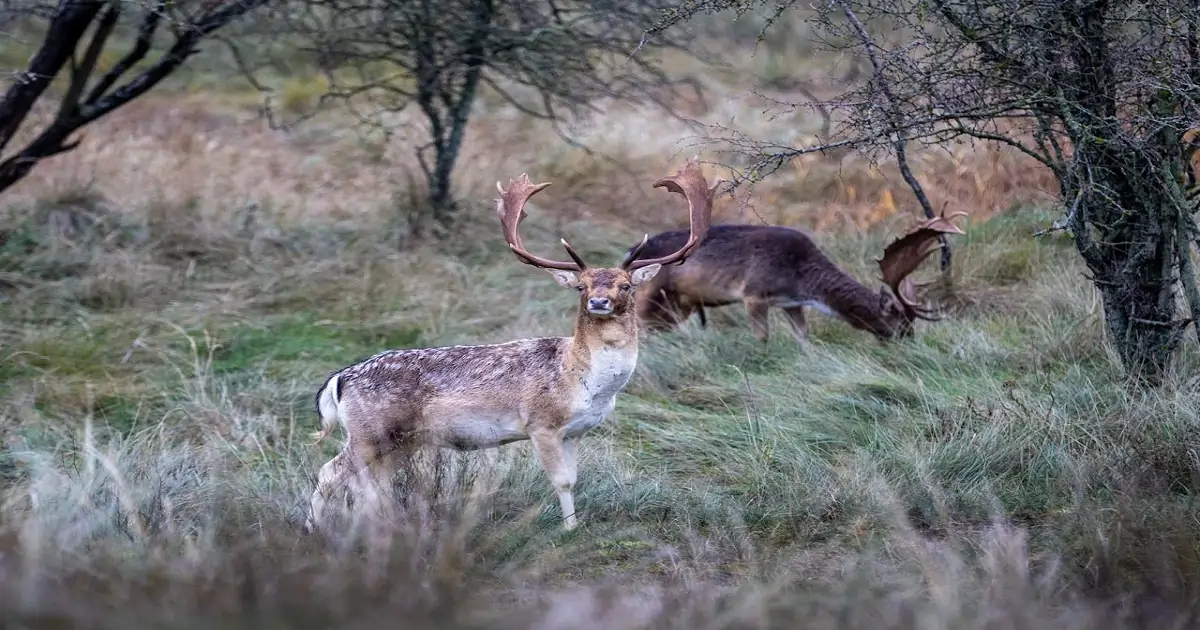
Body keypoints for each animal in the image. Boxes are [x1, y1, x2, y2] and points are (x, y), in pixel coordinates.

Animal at [303, 158, 718, 534]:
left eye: (626, 285)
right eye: (581, 286)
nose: (598, 302)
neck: (584, 381)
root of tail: (339, 379)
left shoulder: (577, 431)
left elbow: (574, 478)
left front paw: (575, 524)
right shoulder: (541, 424)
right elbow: (561, 480)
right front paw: (568, 530)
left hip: (400, 440)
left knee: (370, 483)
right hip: (370, 431)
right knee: (330, 472)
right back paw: (313, 530)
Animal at [623, 212, 968, 345]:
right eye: (900, 322)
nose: (910, 343)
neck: (799, 277)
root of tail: (628, 256)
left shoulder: (791, 303)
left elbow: (804, 337)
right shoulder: (753, 293)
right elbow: (762, 338)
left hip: (677, 305)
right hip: (649, 294)